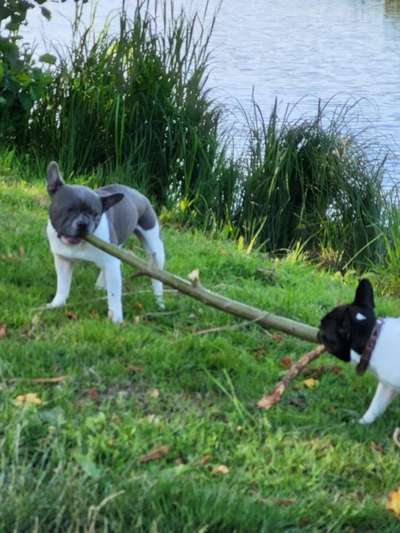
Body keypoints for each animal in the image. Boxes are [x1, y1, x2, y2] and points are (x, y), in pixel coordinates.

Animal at [46, 161, 165, 320]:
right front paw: (57, 304)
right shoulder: (63, 261)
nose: (83, 223)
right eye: (68, 209)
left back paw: (160, 302)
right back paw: (100, 285)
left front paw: (116, 319)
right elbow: (62, 285)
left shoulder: (112, 264)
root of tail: (139, 194)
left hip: (155, 246)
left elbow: (114, 295)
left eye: (95, 214)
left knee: (157, 277)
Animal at [320, 278, 400, 424]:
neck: (374, 340)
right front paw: (362, 423)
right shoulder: (388, 385)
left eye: (324, 331)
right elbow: (376, 405)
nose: (317, 331)